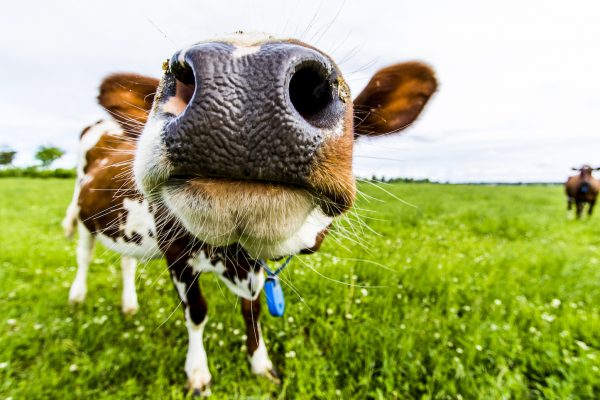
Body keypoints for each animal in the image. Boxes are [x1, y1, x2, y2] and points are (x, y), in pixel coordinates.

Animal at [62, 32, 436, 396]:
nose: (247, 75)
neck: (232, 257)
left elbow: (252, 310)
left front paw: (260, 365)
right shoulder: (175, 252)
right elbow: (196, 312)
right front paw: (198, 374)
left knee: (126, 259)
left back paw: (128, 305)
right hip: (83, 211)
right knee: (85, 253)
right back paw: (77, 296)